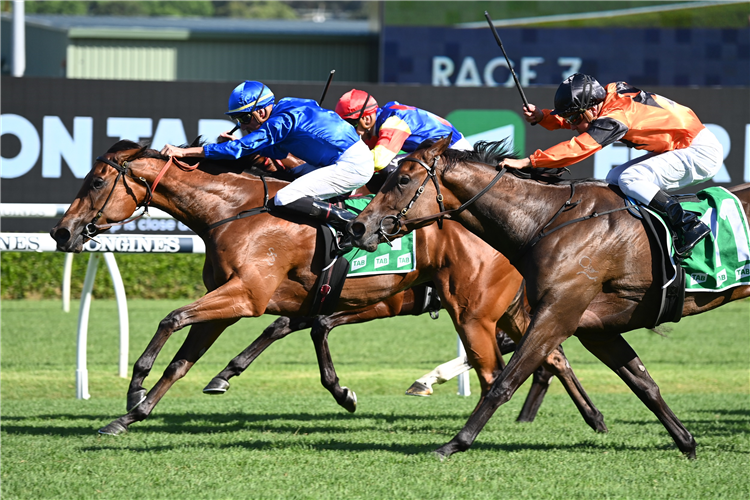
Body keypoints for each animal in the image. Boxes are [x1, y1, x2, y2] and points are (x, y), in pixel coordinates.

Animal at [51, 139, 604, 436]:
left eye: (95, 181)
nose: (61, 231)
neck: (234, 210)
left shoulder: (245, 296)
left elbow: (172, 319)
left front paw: (135, 388)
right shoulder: (233, 302)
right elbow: (184, 359)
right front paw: (133, 413)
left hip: (474, 307)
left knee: (516, 361)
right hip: (499, 306)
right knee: (552, 354)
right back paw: (593, 417)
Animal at [352, 135, 750, 458]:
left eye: (403, 180)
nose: (358, 226)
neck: (548, 221)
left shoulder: (556, 314)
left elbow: (503, 382)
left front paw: (454, 444)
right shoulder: (595, 328)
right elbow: (644, 385)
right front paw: (687, 442)